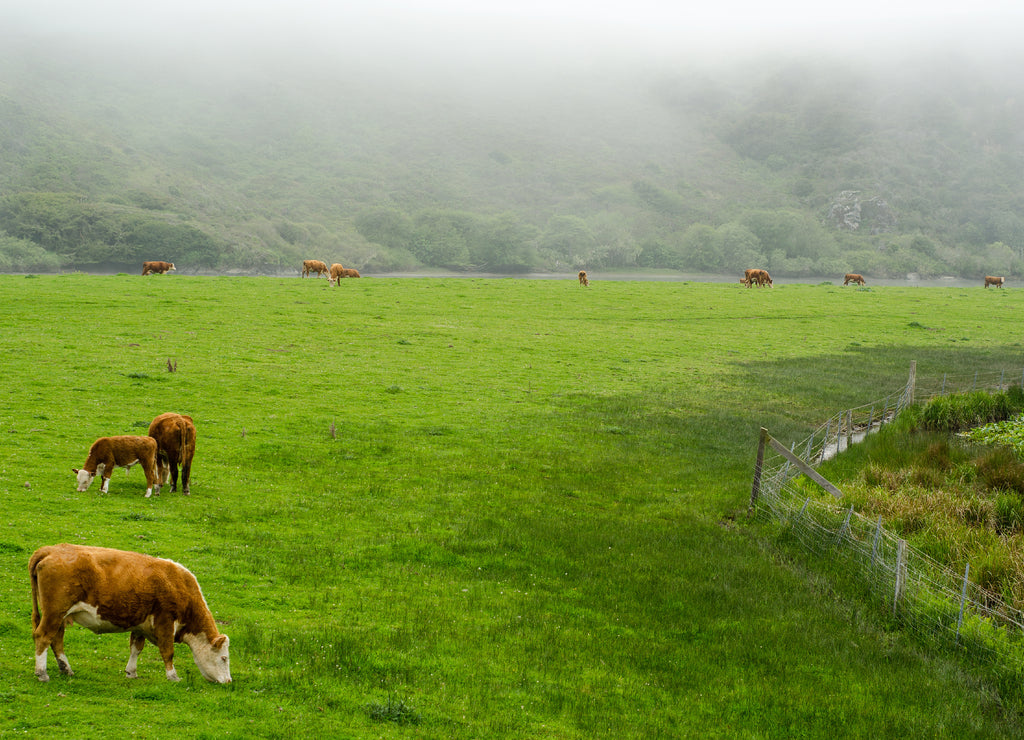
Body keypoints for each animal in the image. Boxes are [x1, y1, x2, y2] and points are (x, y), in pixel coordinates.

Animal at [30, 540, 231, 687]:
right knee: (43, 636)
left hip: (60, 616)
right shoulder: (165, 620)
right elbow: (168, 651)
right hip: (54, 613)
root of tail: (50, 550)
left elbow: (136, 648)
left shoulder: (141, 624)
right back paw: (42, 673)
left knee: (56, 639)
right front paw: (173, 676)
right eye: (224, 658)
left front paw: (131, 672)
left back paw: (66, 669)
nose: (229, 681)